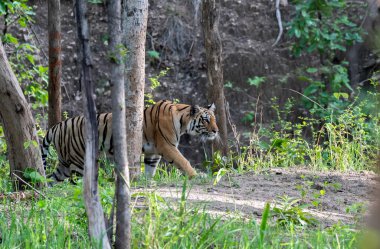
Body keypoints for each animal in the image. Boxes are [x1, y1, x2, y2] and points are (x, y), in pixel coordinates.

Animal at [40, 99, 220, 183]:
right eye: (205, 120)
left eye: (214, 119)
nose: (216, 130)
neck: (182, 121)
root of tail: (57, 126)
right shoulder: (167, 146)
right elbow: (183, 161)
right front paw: (197, 175)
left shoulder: (153, 153)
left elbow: (150, 169)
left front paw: (147, 182)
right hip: (78, 161)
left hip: (64, 163)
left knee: (50, 178)